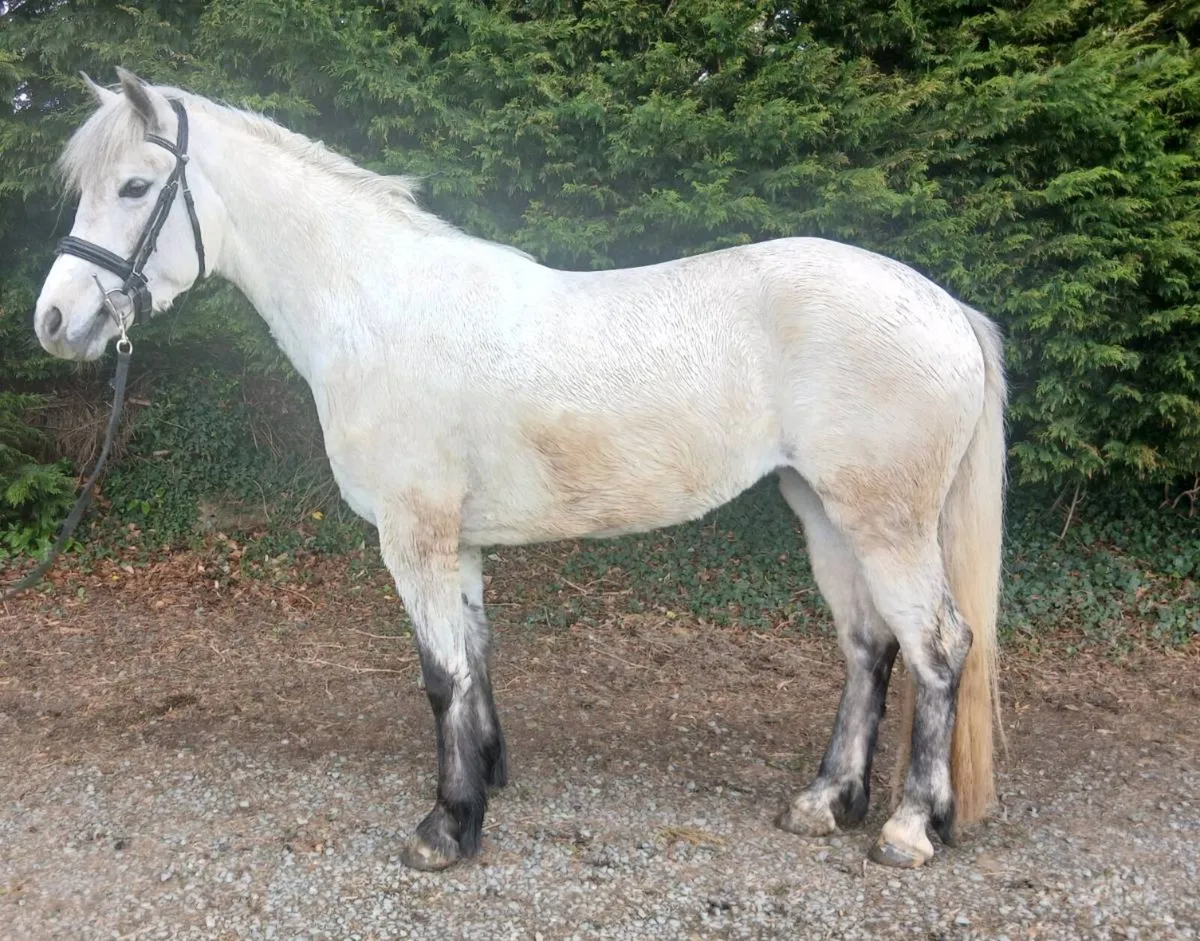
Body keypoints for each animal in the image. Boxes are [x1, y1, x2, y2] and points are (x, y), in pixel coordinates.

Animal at [32, 68, 1006, 872]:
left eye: (134, 186)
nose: (53, 321)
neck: (379, 309)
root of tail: (942, 304)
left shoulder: (413, 536)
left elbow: (440, 676)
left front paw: (445, 827)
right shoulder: (455, 543)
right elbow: (474, 659)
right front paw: (486, 781)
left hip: (885, 521)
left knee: (938, 645)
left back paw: (910, 826)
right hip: (823, 510)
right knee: (868, 646)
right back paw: (826, 801)